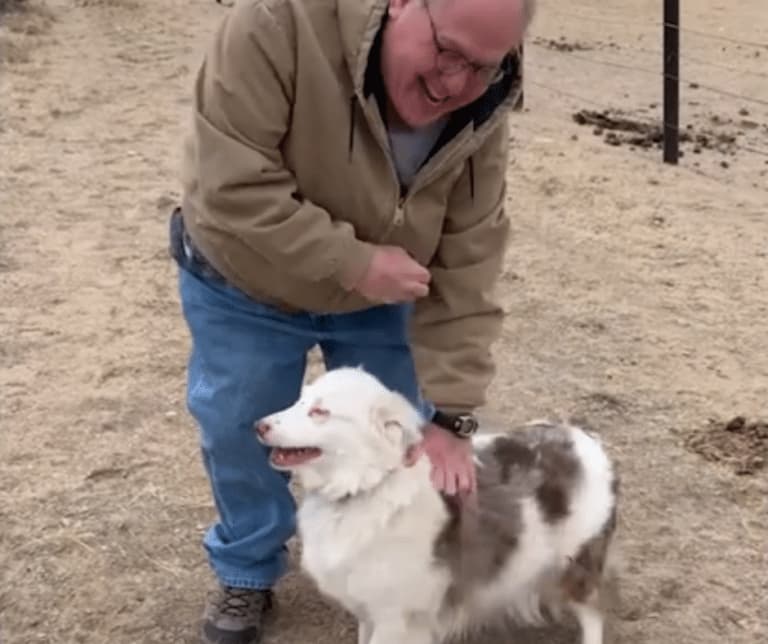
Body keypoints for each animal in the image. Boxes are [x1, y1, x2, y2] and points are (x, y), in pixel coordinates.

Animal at [255, 368, 620, 644]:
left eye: (320, 412)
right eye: (300, 400)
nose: (258, 425)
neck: (367, 486)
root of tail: (587, 440)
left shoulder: (398, 618)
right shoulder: (369, 608)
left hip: (577, 560)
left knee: (593, 612)